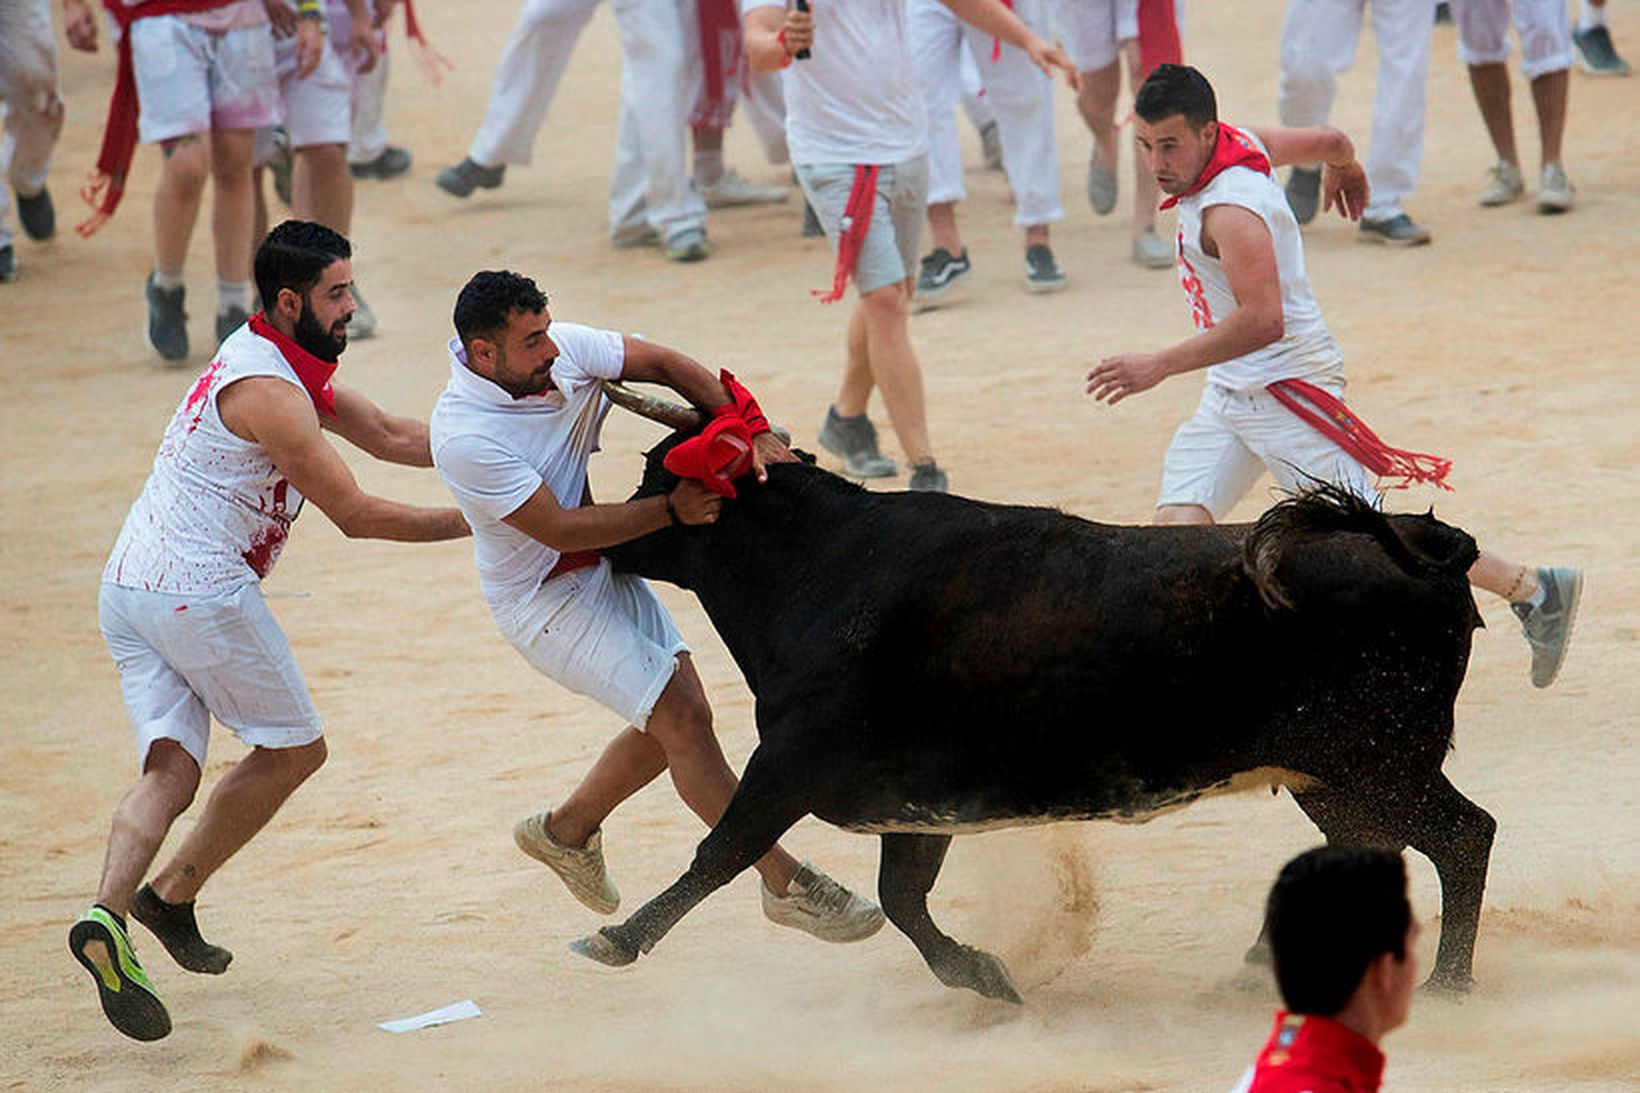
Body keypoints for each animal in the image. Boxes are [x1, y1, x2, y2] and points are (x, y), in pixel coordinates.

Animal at [577, 429, 1502, 997]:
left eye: (655, 480)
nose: (592, 534)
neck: (821, 563)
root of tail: (1419, 545)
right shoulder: (916, 806)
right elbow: (903, 899)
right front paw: (984, 974)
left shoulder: (790, 764)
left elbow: (722, 850)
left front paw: (617, 939)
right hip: (1331, 774)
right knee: (1383, 841)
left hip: (1381, 761)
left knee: (1464, 835)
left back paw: (1447, 984)